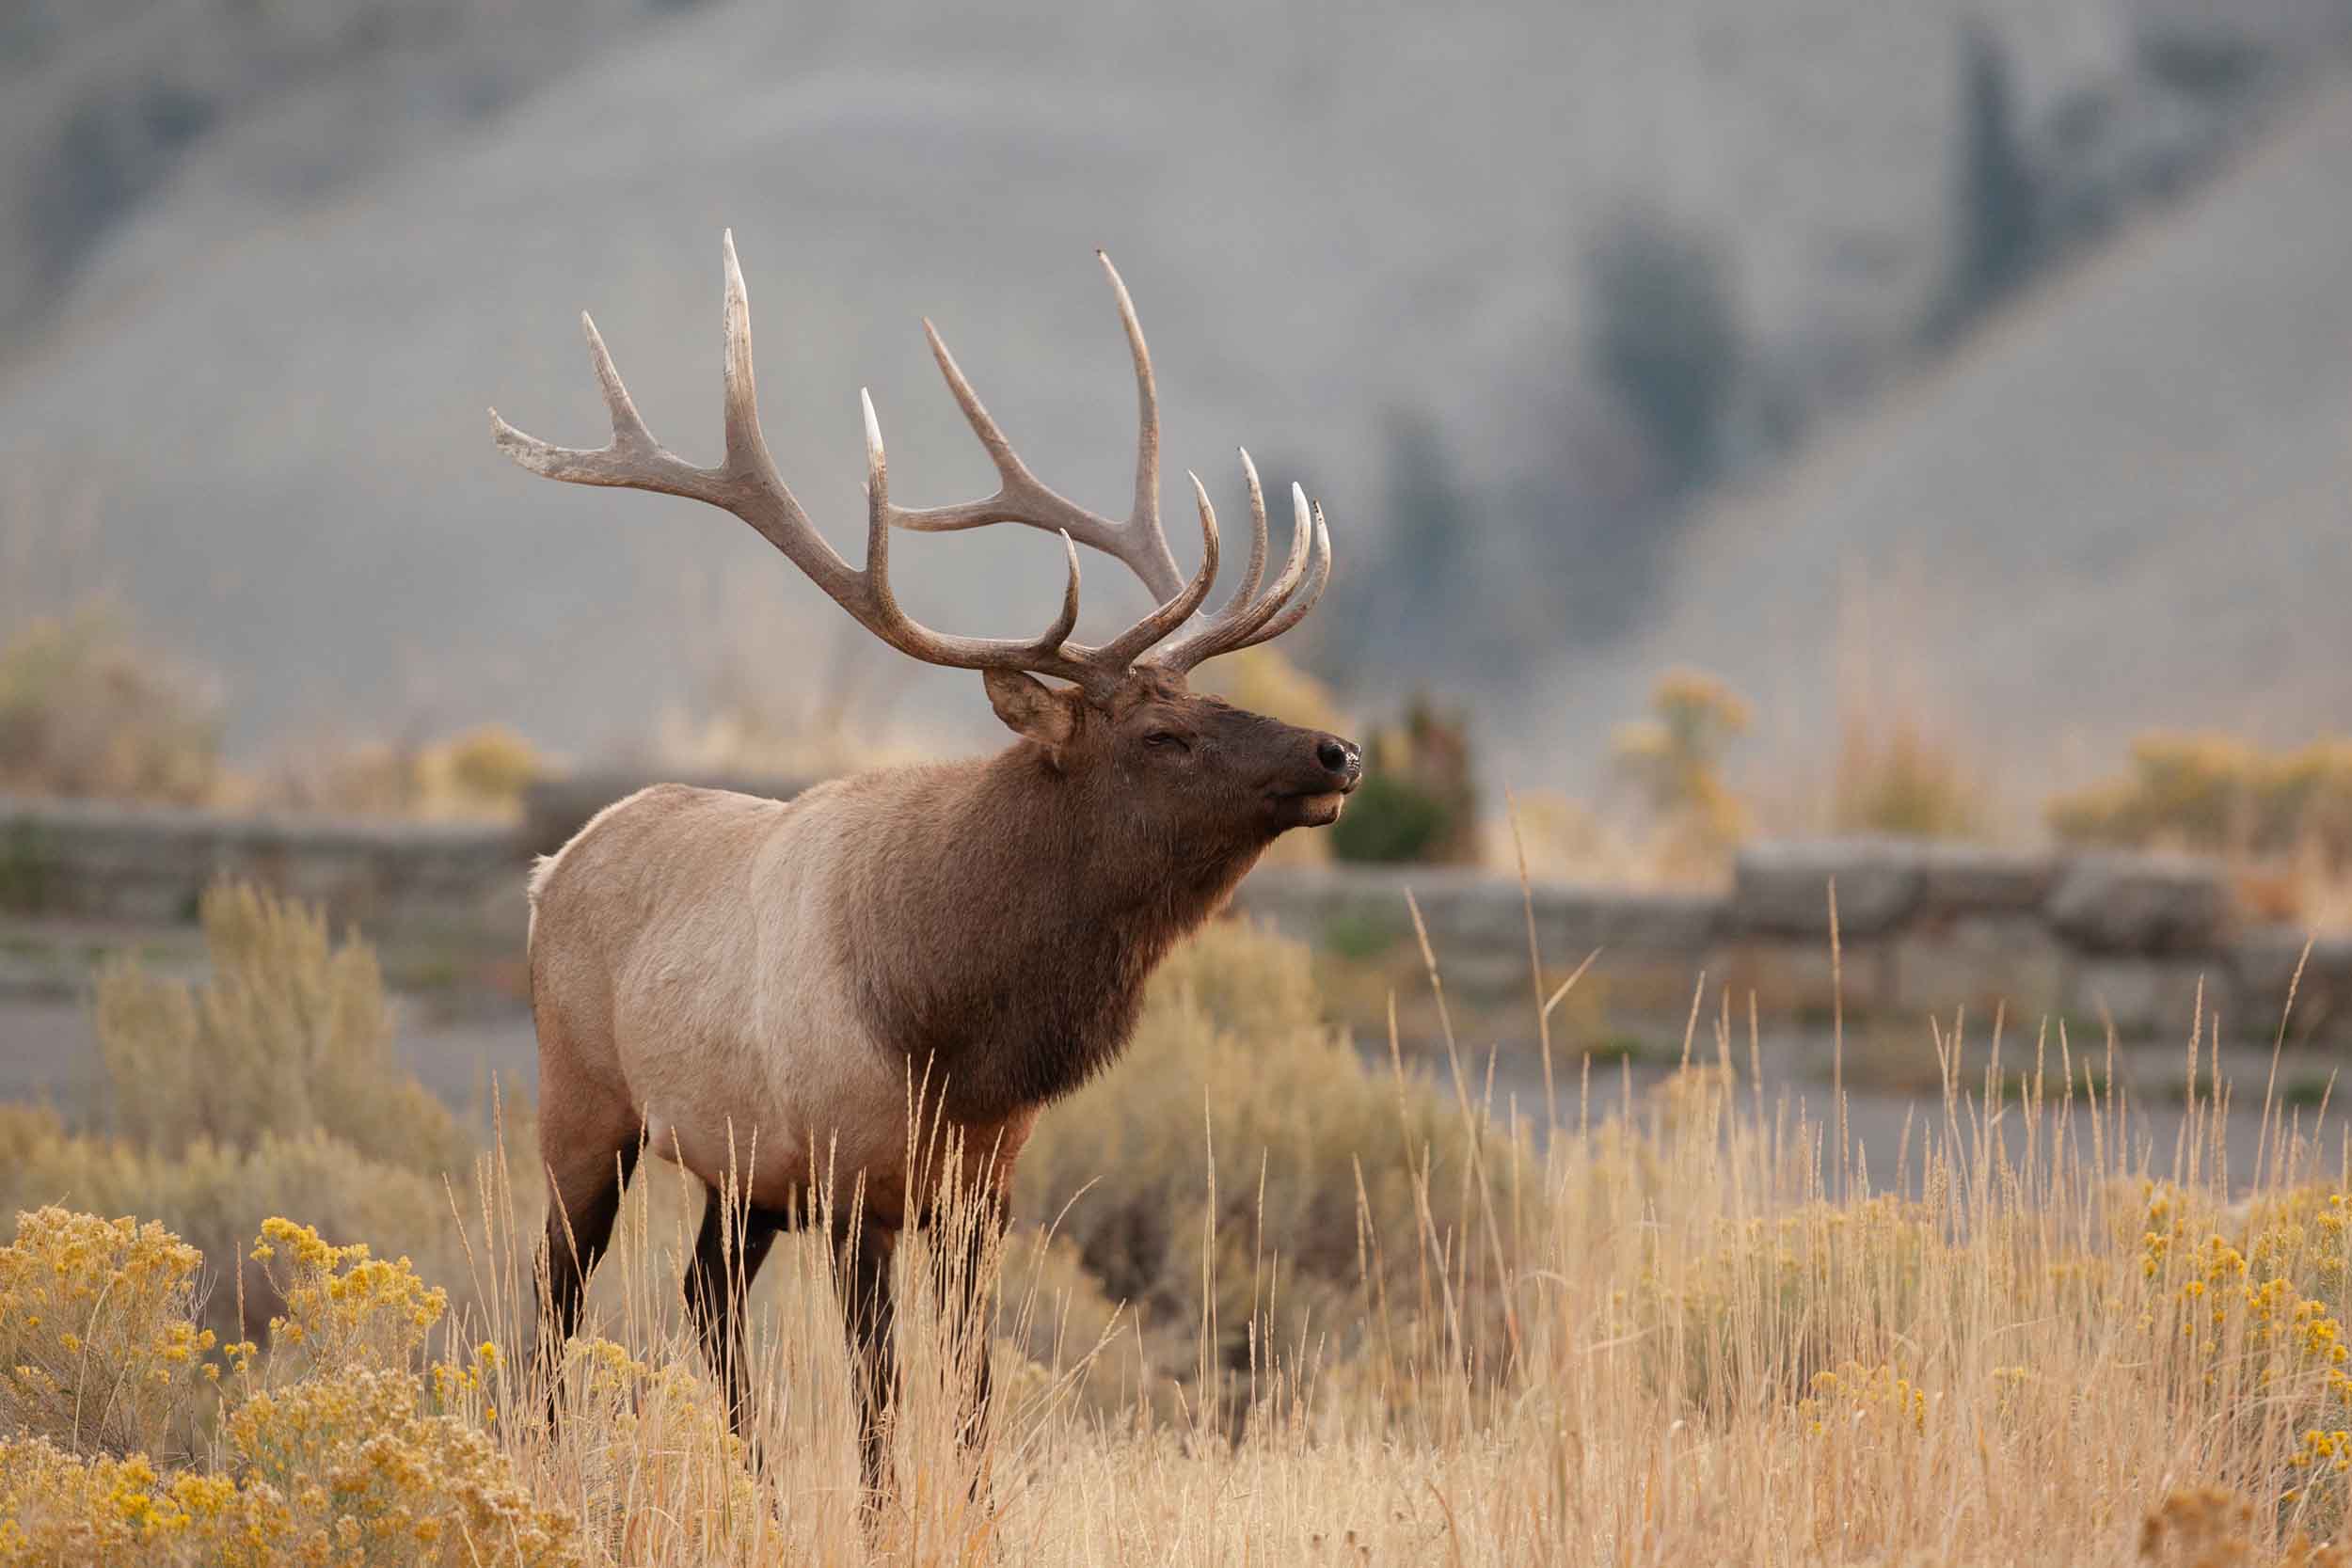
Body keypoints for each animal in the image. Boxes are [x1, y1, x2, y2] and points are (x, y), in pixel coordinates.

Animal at [487, 231, 1357, 1507]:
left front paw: (978, 1516)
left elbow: (974, 1396)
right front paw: (884, 1519)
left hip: (742, 1173)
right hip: (585, 1104)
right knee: (553, 1298)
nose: (1337, 750)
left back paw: (758, 1486)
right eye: (1164, 734)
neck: (954, 1018)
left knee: (701, 1293)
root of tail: (551, 867)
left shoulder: (981, 1190)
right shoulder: (860, 1184)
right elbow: (881, 1408)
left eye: (1204, 700)